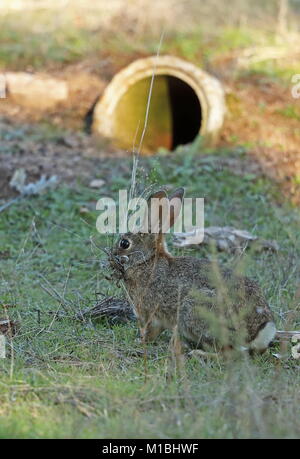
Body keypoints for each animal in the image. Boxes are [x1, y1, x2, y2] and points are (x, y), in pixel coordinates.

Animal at [108, 189, 276, 354]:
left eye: (124, 243)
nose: (111, 255)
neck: (147, 261)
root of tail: (258, 331)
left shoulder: (150, 313)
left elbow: (150, 331)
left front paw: (140, 341)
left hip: (196, 311)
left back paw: (197, 353)